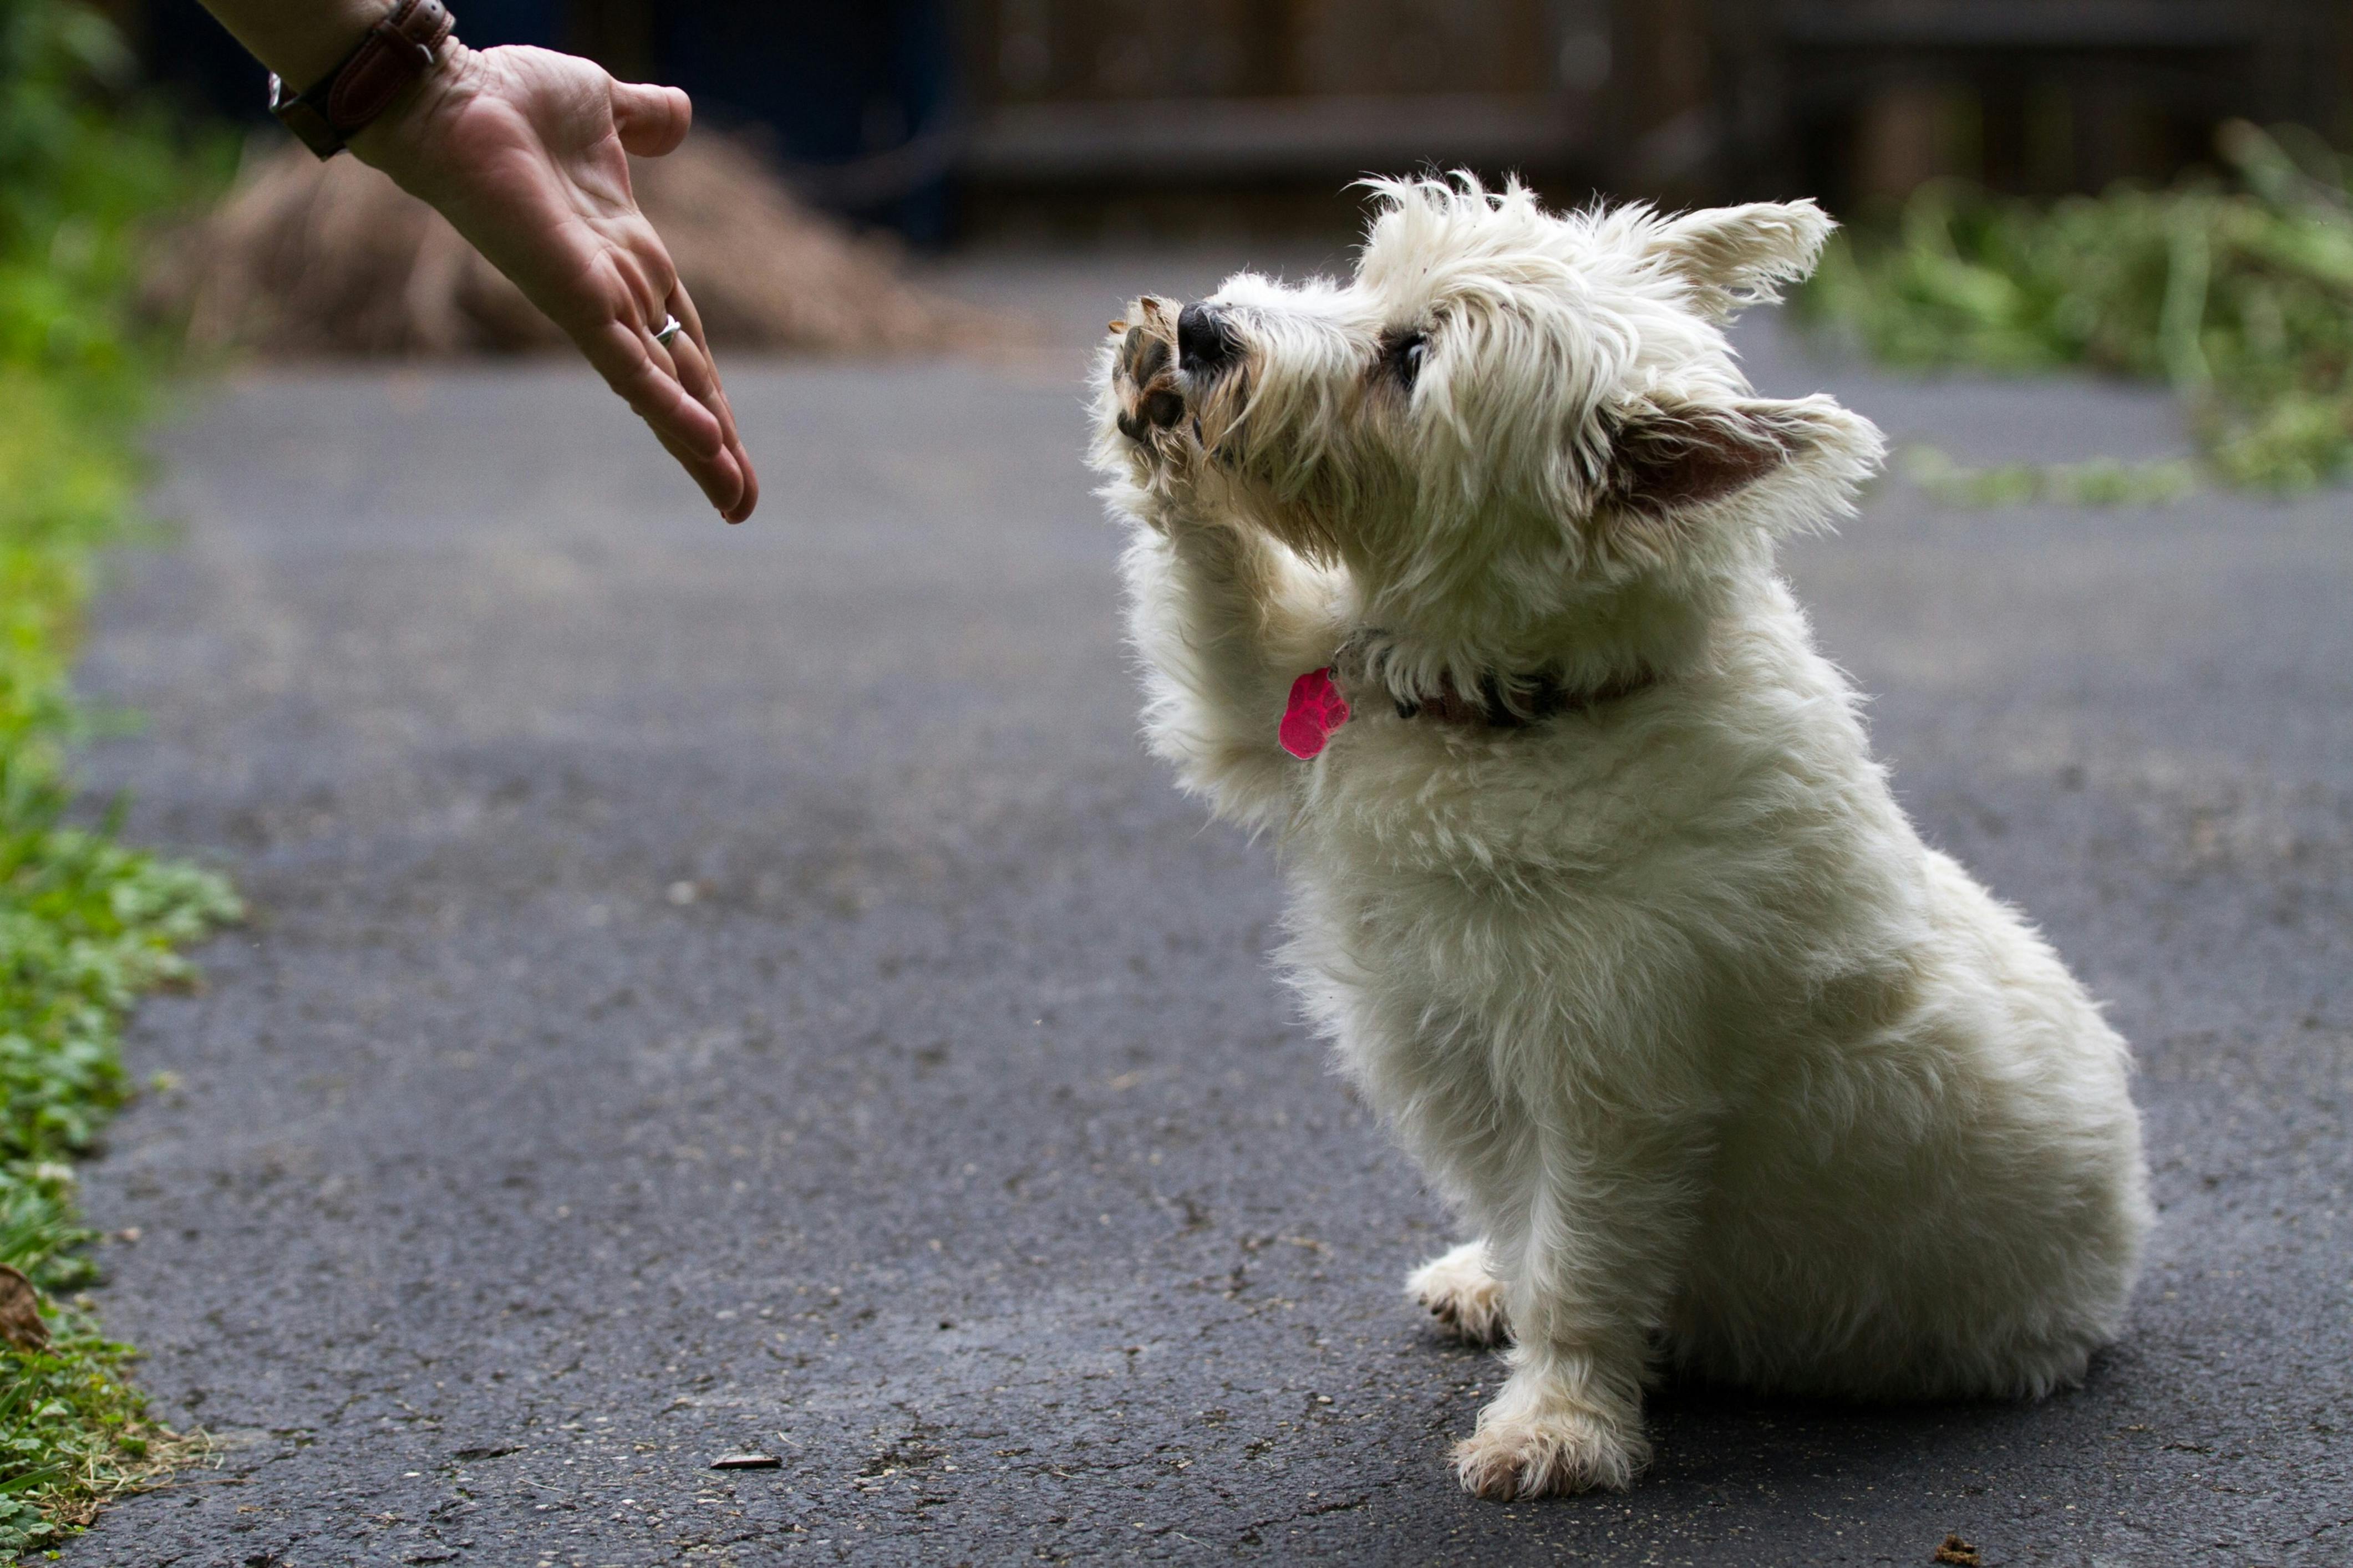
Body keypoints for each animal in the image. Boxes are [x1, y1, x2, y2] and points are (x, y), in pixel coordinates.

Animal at [1082, 177, 2155, 1504]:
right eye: (1368, 275)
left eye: (1412, 357)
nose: (1203, 328)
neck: (1518, 706)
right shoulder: (1261, 718)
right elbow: (1215, 602)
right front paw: (1144, 401)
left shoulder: (1618, 1091)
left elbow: (1582, 1272)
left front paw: (1556, 1426)